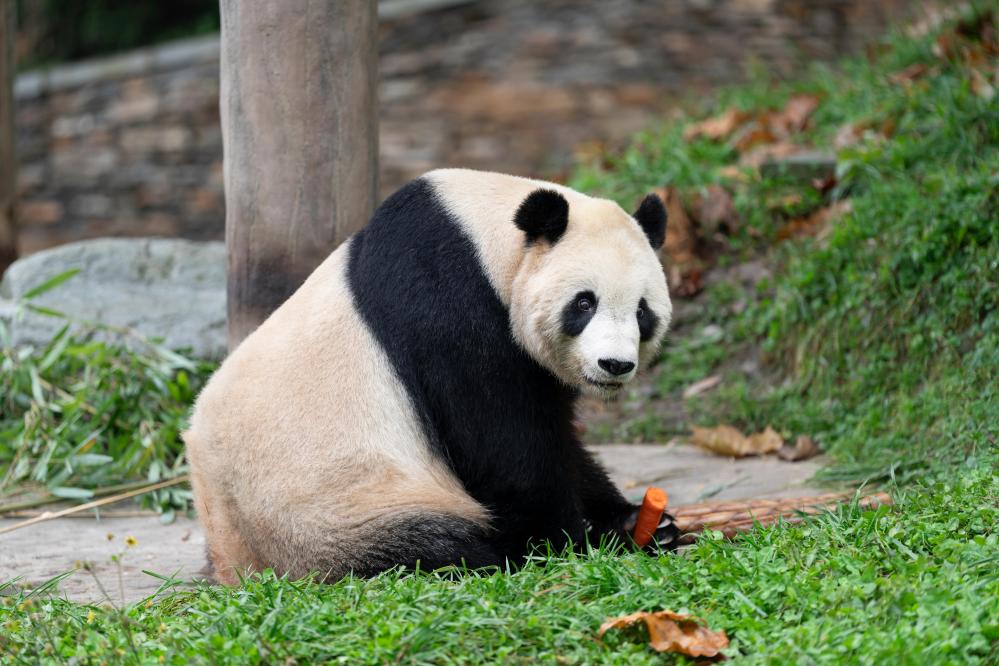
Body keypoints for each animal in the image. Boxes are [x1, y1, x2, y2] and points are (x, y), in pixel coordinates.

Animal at [184, 169, 677, 584]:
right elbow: (506, 448)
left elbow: (559, 438)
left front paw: (641, 523)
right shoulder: (448, 306)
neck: (486, 238)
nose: (614, 365)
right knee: (433, 548)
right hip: (331, 516)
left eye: (642, 311)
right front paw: (580, 543)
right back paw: (494, 555)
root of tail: (231, 561)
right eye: (584, 303)